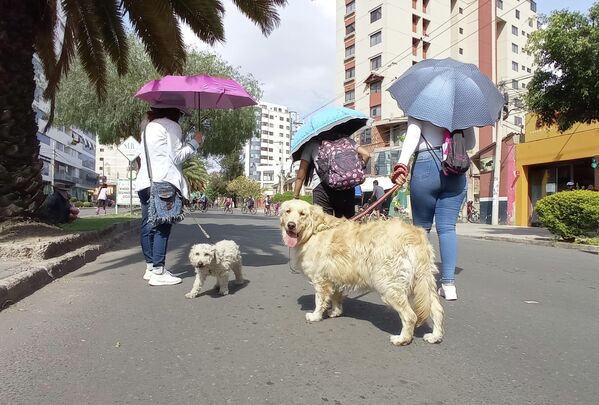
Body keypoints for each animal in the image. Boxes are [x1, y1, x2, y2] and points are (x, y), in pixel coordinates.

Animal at [278, 199, 442, 344]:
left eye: (302, 214)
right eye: (288, 211)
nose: (291, 225)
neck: (314, 230)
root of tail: (415, 235)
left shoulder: (320, 280)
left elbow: (319, 300)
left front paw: (315, 316)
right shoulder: (335, 277)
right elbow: (336, 297)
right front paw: (336, 312)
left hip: (389, 286)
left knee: (410, 316)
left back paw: (402, 339)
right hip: (422, 283)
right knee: (437, 309)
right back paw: (435, 336)